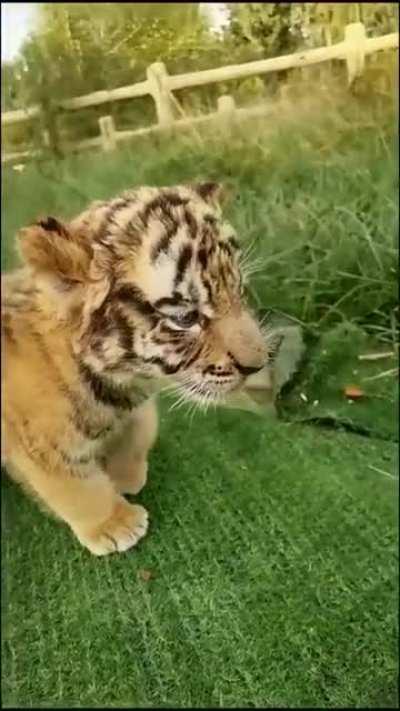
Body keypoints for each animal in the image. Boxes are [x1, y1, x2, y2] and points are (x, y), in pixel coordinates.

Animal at [1, 182, 268, 556]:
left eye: (239, 291)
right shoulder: (40, 444)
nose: (259, 364)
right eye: (185, 318)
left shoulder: (135, 407)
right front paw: (115, 524)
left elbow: (139, 433)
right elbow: (76, 488)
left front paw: (126, 477)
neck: (119, 380)